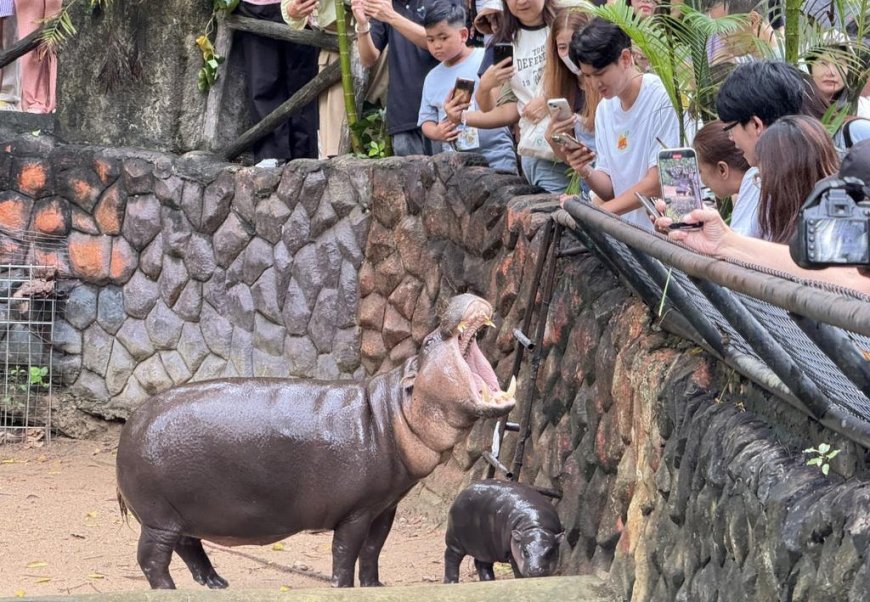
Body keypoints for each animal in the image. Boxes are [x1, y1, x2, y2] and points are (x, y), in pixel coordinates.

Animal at [112, 292, 516, 588]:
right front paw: (343, 587)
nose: (462, 295)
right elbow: (346, 554)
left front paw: (375, 587)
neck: (392, 414)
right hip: (158, 518)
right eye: (428, 342)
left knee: (188, 547)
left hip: (181, 514)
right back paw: (170, 590)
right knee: (152, 559)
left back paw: (216, 583)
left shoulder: (385, 507)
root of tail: (130, 424)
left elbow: (373, 552)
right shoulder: (355, 512)